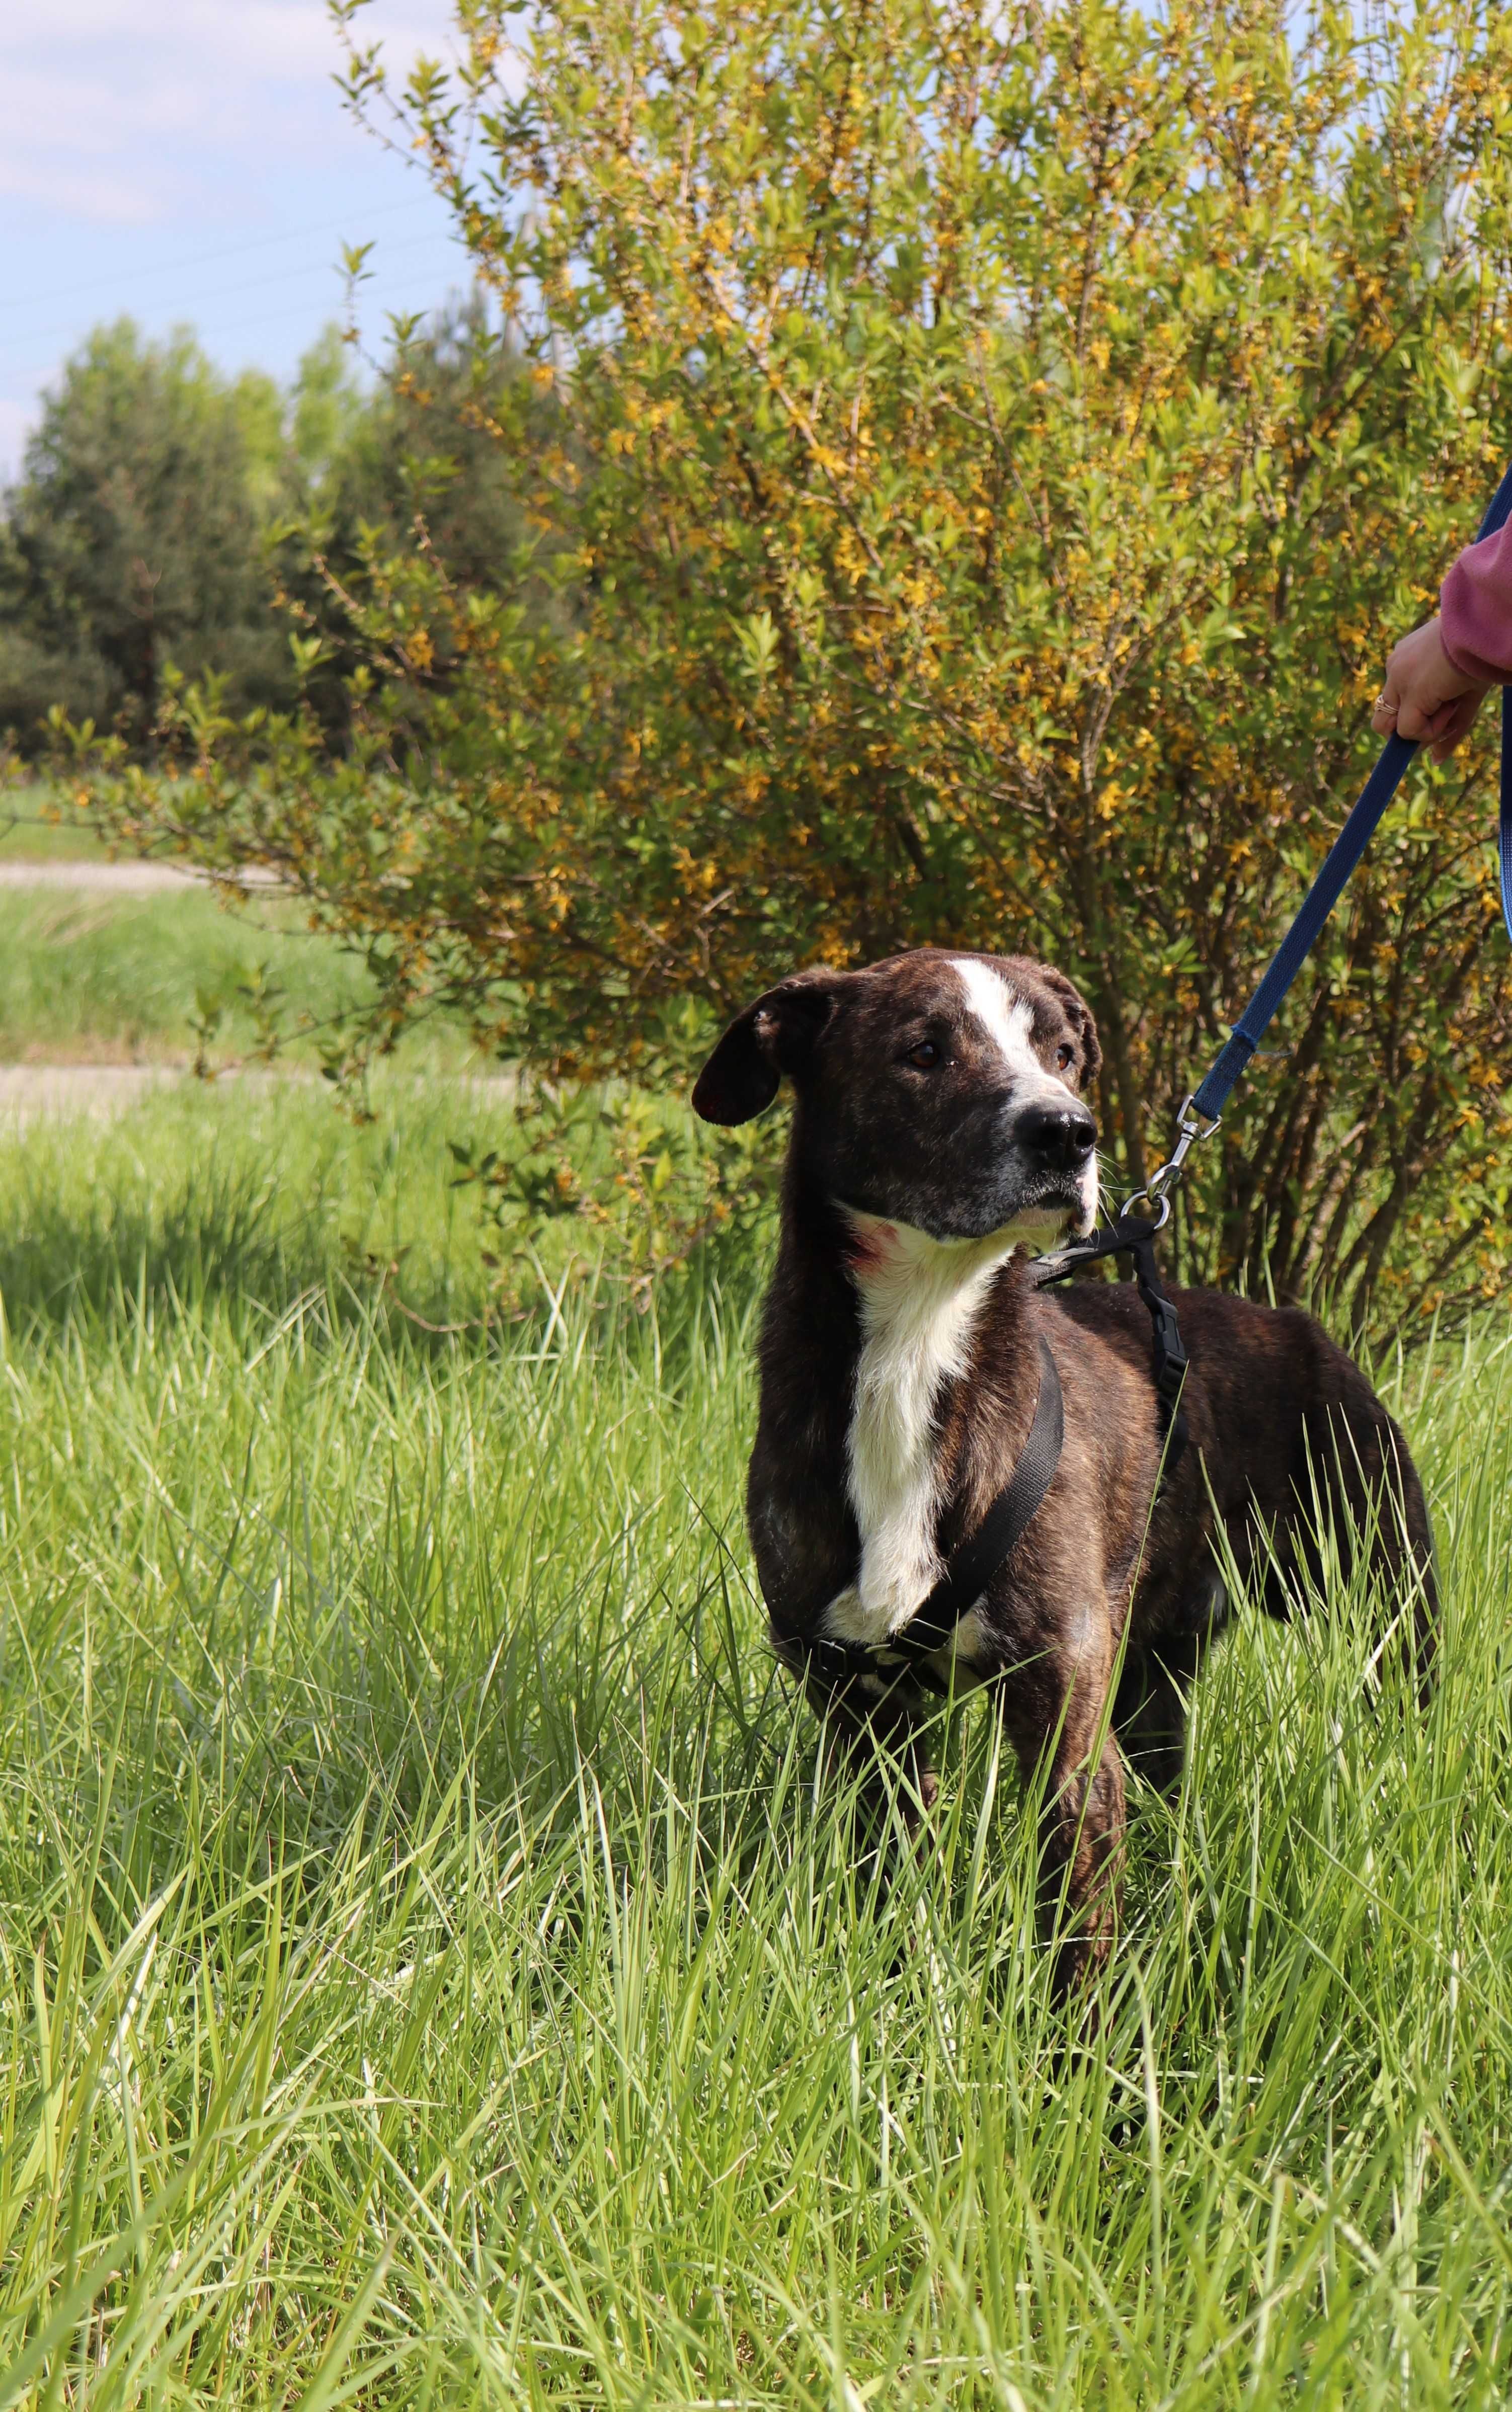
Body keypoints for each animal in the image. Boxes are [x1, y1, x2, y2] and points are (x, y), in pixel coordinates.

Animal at [694, 950, 1437, 1987]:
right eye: (925, 1049)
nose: (1070, 1131)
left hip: (1388, 1600)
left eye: (1063, 1051)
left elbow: (1077, 1946)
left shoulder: (1067, 1728)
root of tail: (1299, 1322)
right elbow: (892, 1890)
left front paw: (1077, 2037)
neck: (919, 1336)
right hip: (1155, 1675)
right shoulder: (864, 1716)